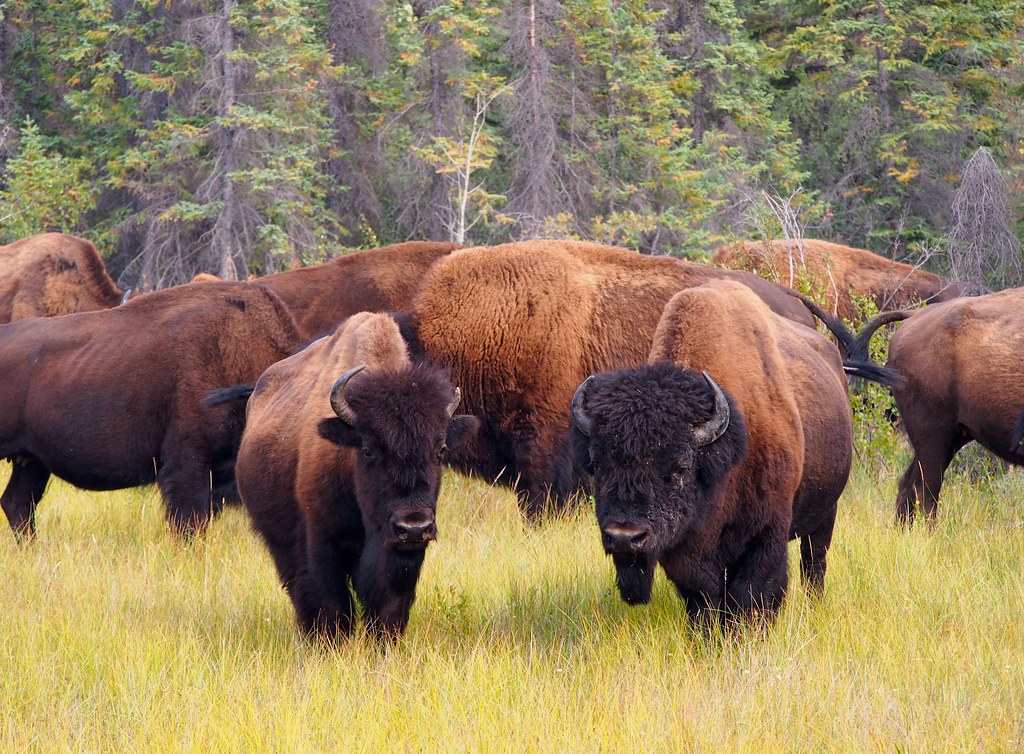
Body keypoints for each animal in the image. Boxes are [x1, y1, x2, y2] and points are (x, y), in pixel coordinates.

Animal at [223, 312, 478, 640]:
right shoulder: (322, 545)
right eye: (368, 450)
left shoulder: (400, 557)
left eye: (441, 450)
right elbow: (332, 606)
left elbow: (388, 608)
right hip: (277, 541)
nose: (413, 526)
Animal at [568, 280, 877, 626]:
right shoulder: (686, 553)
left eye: (680, 468)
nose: (624, 537)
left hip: (826, 513)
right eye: (597, 466)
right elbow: (703, 600)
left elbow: (754, 593)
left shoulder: (765, 536)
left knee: (814, 565)